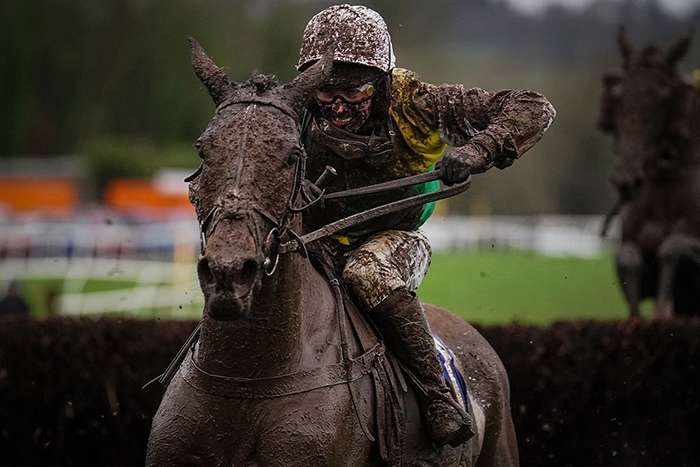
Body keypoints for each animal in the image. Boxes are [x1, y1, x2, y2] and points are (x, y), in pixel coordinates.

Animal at [146, 40, 520, 467]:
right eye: (203, 150)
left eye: (291, 156)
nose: (229, 271)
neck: (247, 377)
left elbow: (518, 102)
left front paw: (467, 157)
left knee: (370, 273)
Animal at [596, 28, 700, 318]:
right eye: (618, 97)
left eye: (664, 99)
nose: (626, 178)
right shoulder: (630, 242)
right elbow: (628, 260)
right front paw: (637, 318)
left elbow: (672, 249)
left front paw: (661, 313)